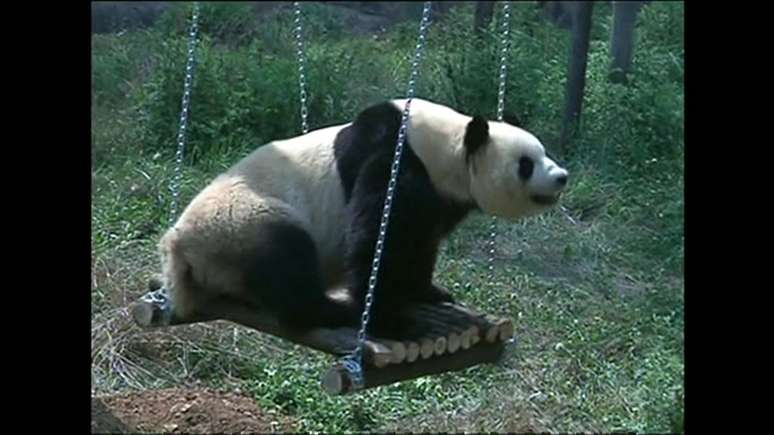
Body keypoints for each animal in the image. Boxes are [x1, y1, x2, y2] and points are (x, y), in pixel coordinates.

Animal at [158, 100, 568, 338]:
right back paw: (334, 311)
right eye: (526, 164)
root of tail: (180, 244)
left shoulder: (439, 198)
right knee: (286, 259)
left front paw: (427, 291)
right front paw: (393, 321)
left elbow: (419, 240)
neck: (446, 145)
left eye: (544, 152)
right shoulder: (393, 156)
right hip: (241, 223)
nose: (561, 177)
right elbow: (377, 238)